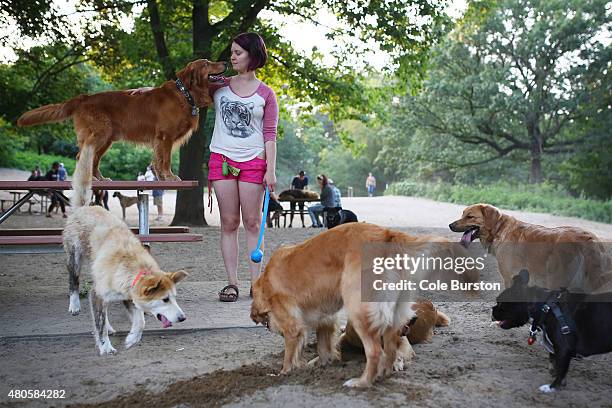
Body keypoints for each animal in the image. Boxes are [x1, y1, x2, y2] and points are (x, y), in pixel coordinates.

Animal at [62, 146, 188, 354]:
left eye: (175, 297)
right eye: (165, 300)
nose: (182, 318)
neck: (131, 269)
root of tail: (84, 208)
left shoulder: (129, 297)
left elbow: (141, 321)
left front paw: (132, 338)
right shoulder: (97, 294)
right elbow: (100, 324)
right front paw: (105, 347)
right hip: (75, 258)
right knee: (74, 282)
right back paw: (74, 305)